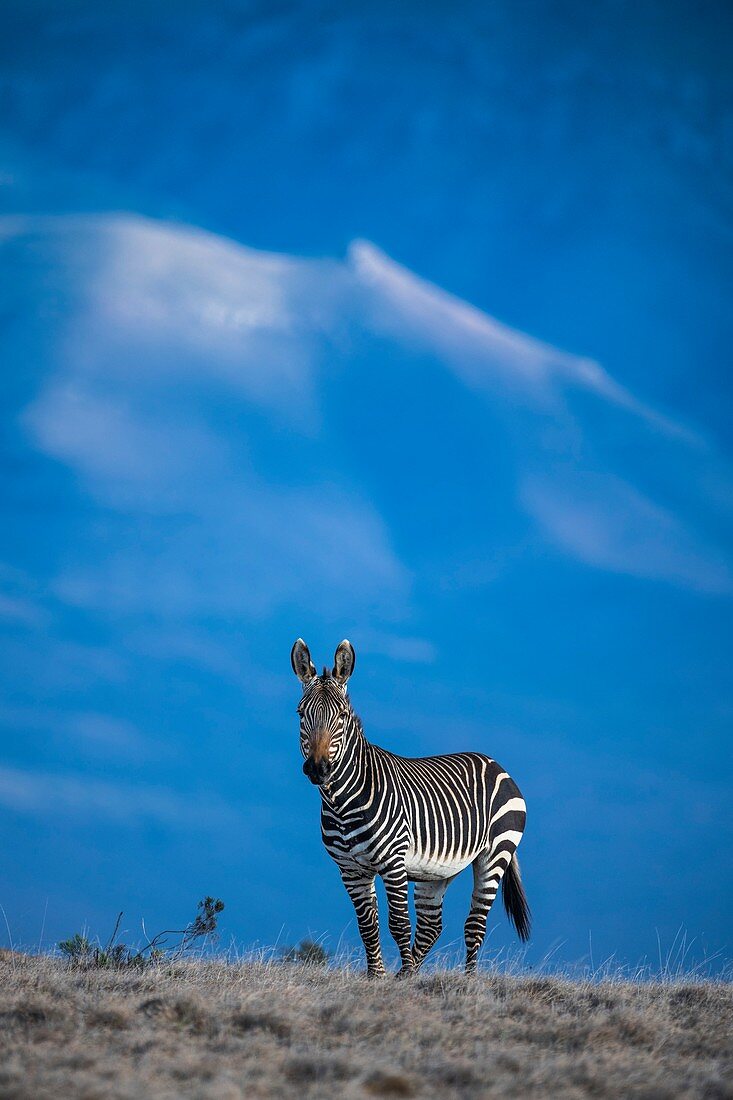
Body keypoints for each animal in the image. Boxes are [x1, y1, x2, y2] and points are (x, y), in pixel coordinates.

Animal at [288, 642, 528, 976]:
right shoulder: (350, 869)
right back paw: (408, 974)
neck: (342, 803)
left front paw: (390, 980)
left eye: (343, 716)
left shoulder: (393, 862)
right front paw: (377, 977)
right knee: (431, 926)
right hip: (436, 871)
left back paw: (467, 980)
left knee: (474, 926)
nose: (318, 769)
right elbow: (368, 925)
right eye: (301, 714)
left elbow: (399, 924)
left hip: (495, 854)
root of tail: (495, 763)